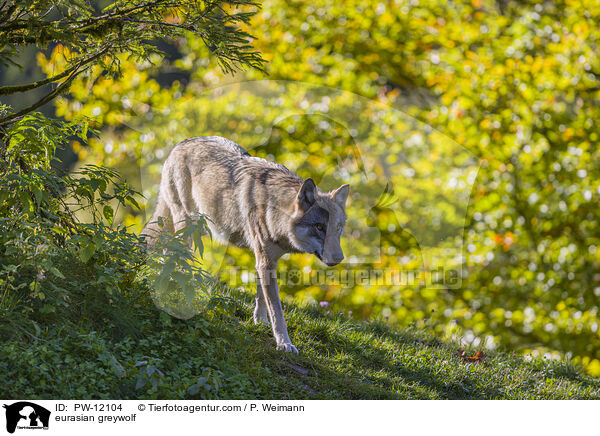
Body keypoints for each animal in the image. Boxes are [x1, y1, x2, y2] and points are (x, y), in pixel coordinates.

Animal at [143, 137, 350, 354]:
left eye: (337, 228)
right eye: (319, 227)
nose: (339, 258)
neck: (275, 212)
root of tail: (180, 143)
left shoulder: (266, 260)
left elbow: (262, 297)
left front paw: (260, 322)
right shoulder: (265, 260)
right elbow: (277, 311)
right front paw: (284, 343)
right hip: (187, 228)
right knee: (172, 254)